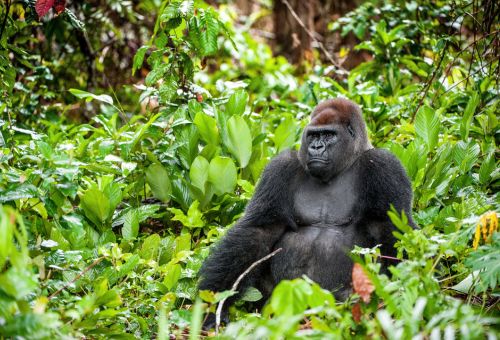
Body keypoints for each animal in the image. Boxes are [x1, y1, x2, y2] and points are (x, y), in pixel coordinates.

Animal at [197, 98, 416, 318]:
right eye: (313, 135)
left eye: (328, 135)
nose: (316, 147)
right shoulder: (280, 167)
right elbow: (260, 230)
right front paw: (213, 303)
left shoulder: (384, 166)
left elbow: (390, 229)